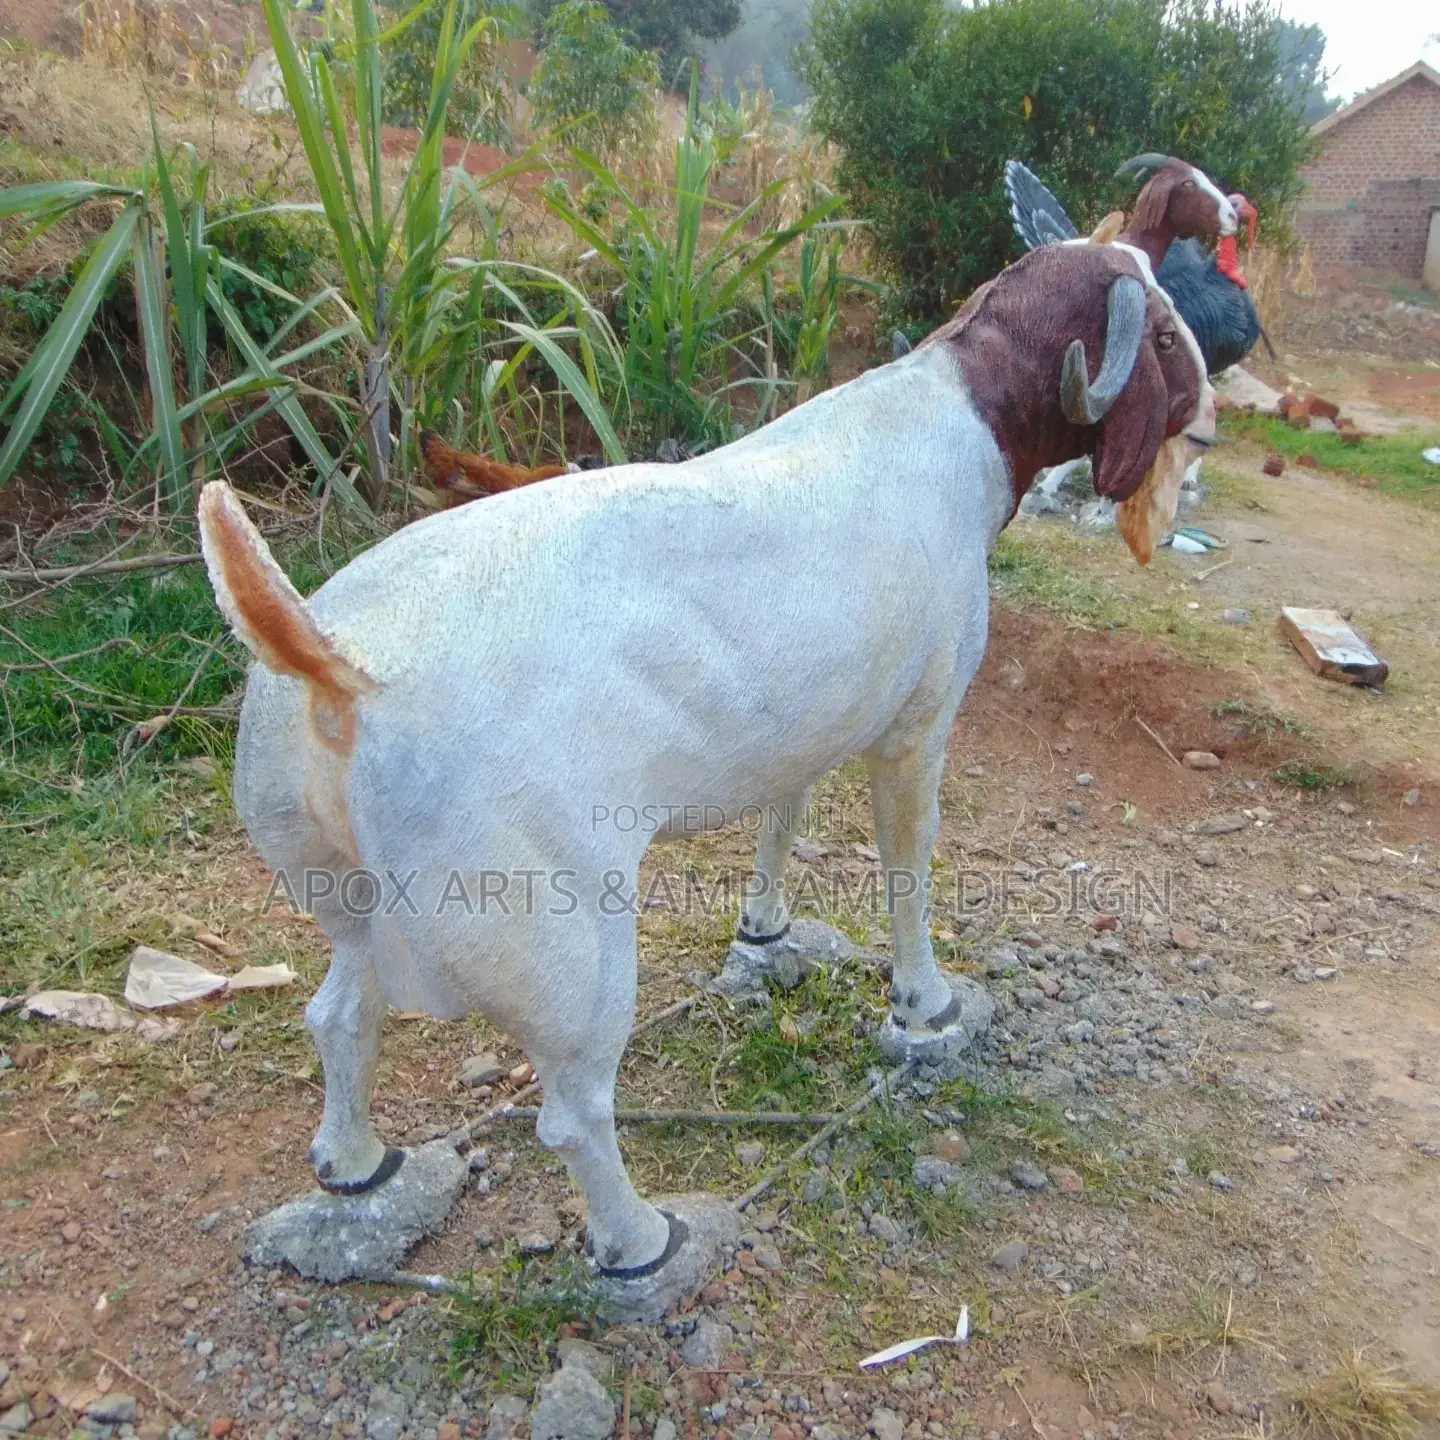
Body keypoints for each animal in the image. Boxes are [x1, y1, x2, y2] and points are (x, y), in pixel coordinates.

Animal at [199, 242, 1214, 1313]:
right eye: (1159, 333)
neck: (958, 411)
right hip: (561, 943)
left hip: (340, 893)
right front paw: (925, 1004)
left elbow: (784, 815)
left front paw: (763, 930)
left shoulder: (802, 725)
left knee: (339, 1016)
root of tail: (341, 667)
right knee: (573, 1113)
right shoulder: (917, 726)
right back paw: (643, 1240)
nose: (1211, 421)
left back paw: (358, 1166)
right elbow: (908, 871)